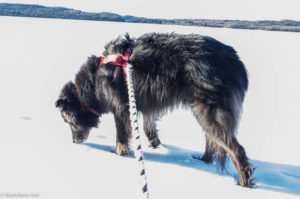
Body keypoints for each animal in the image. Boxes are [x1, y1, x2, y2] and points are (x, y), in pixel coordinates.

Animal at [55, 32, 253, 187]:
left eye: (70, 122)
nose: (74, 141)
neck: (93, 82)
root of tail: (237, 63)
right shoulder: (146, 109)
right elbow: (148, 128)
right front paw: (156, 146)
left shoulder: (121, 108)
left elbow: (121, 136)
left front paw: (119, 155)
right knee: (212, 141)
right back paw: (203, 160)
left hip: (208, 112)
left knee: (236, 150)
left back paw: (243, 184)